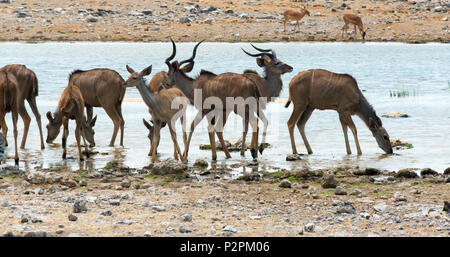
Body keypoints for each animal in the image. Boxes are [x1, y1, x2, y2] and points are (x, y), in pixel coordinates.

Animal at [163, 40, 294, 160]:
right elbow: (212, 128)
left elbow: (196, 126)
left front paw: (187, 156)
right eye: (276, 63)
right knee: (255, 123)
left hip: (240, 109)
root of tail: (252, 84)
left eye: (169, 73)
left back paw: (252, 152)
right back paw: (253, 151)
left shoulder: (206, 110)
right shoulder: (218, 111)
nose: (165, 84)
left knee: (254, 123)